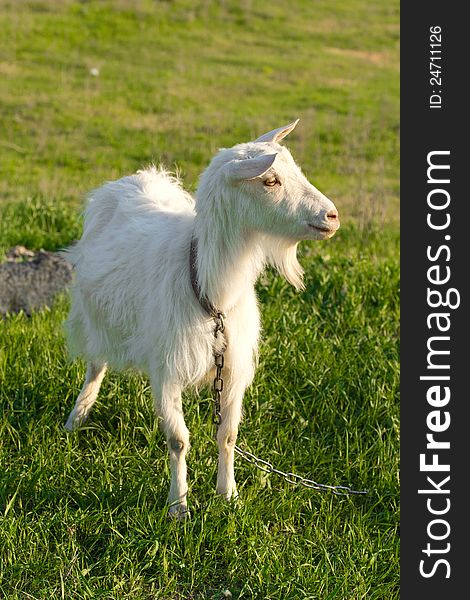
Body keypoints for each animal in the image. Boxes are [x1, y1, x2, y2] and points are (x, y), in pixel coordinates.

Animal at [64, 120, 340, 516]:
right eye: (270, 180)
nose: (332, 216)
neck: (211, 290)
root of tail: (136, 178)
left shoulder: (232, 366)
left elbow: (227, 435)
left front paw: (229, 495)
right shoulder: (168, 366)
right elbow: (178, 439)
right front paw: (178, 506)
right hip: (95, 317)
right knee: (96, 365)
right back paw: (77, 417)